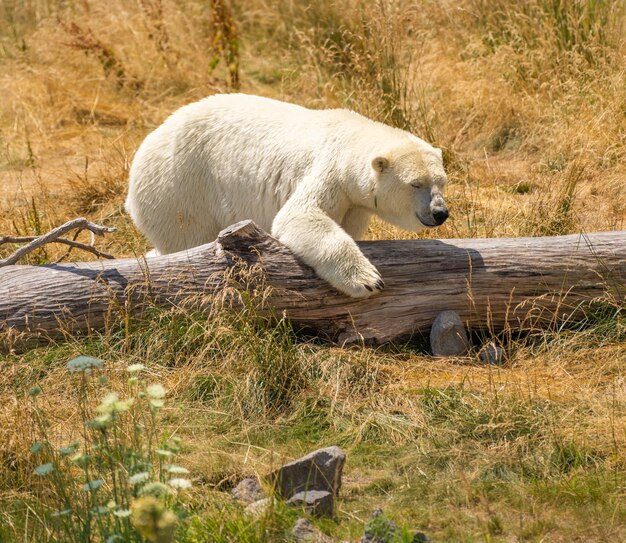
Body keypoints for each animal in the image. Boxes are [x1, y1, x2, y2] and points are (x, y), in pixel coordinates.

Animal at [125, 93, 448, 298]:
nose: (440, 213)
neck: (349, 135)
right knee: (186, 239)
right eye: (415, 184)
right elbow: (300, 216)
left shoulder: (354, 203)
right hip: (180, 187)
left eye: (441, 182)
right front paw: (367, 280)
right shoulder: (329, 170)